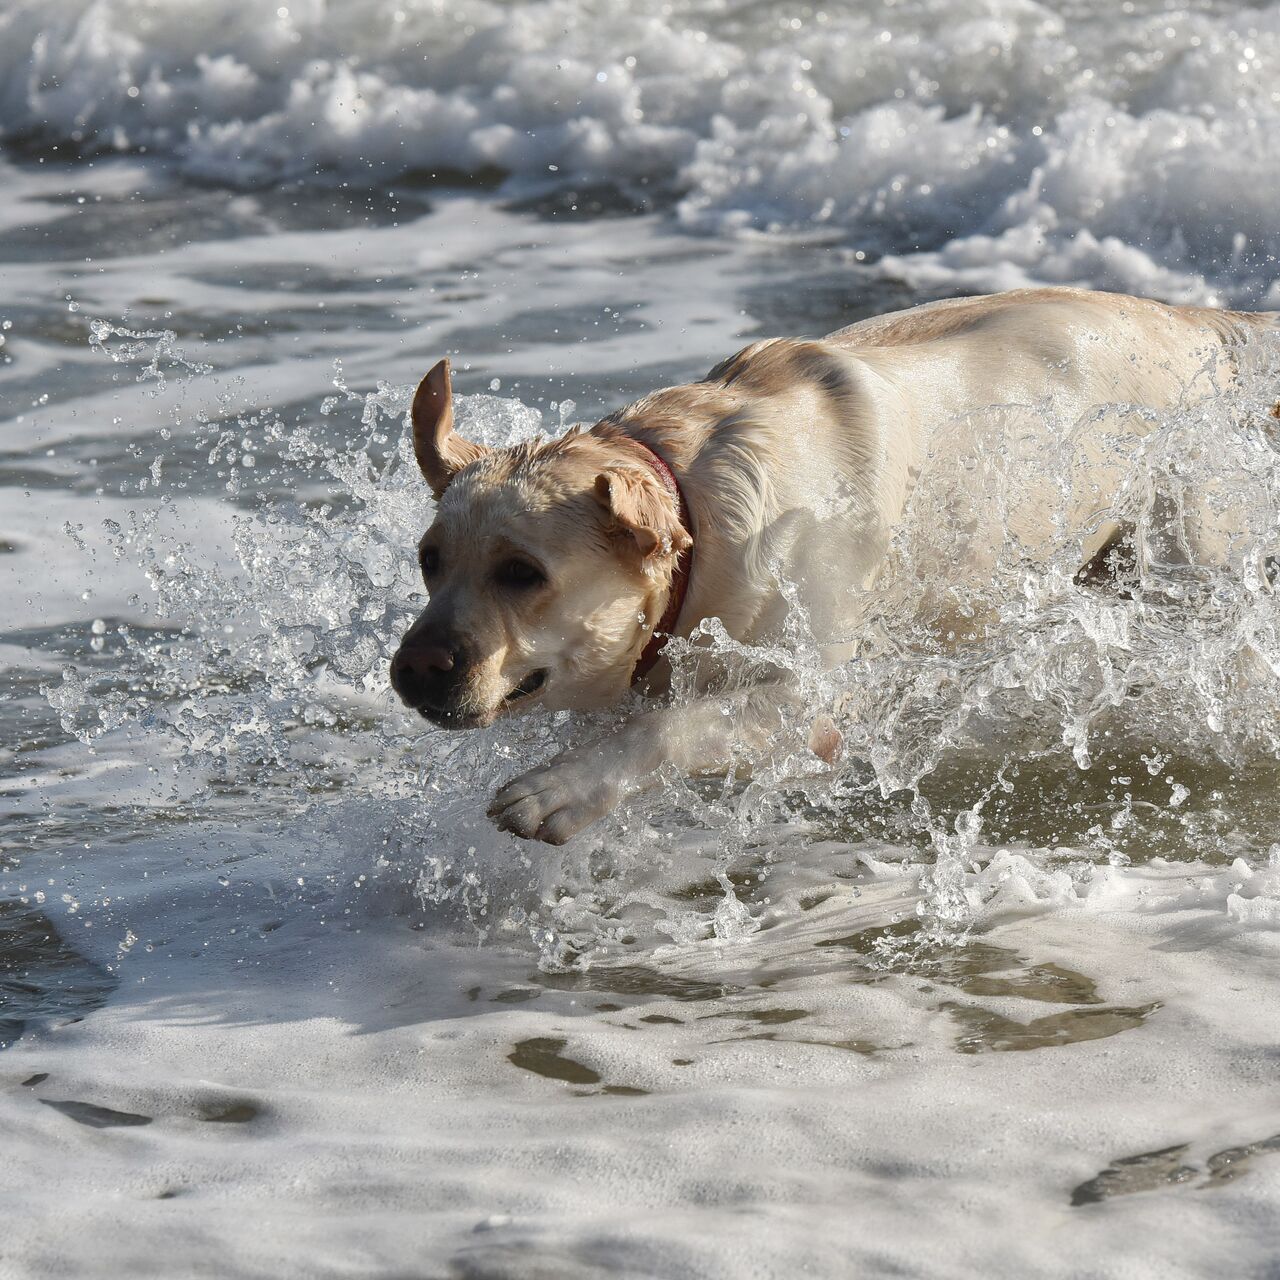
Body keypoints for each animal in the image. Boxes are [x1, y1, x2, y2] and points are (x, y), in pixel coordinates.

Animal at [394, 293, 1274, 849]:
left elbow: (670, 726)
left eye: (521, 572)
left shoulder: (810, 700)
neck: (700, 523)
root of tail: (1192, 322)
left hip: (1188, 560)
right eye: (429, 561)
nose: (411, 671)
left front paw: (559, 791)